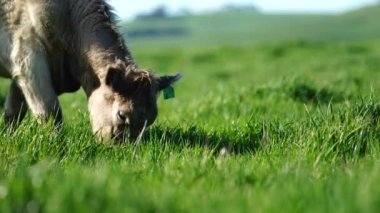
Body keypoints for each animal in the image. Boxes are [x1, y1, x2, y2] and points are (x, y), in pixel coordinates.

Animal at [0, 0, 182, 141]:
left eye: (150, 120)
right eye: (122, 115)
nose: (124, 149)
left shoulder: (26, 76)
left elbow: (12, 113)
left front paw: (8, 138)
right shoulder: (29, 61)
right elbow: (50, 112)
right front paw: (55, 142)